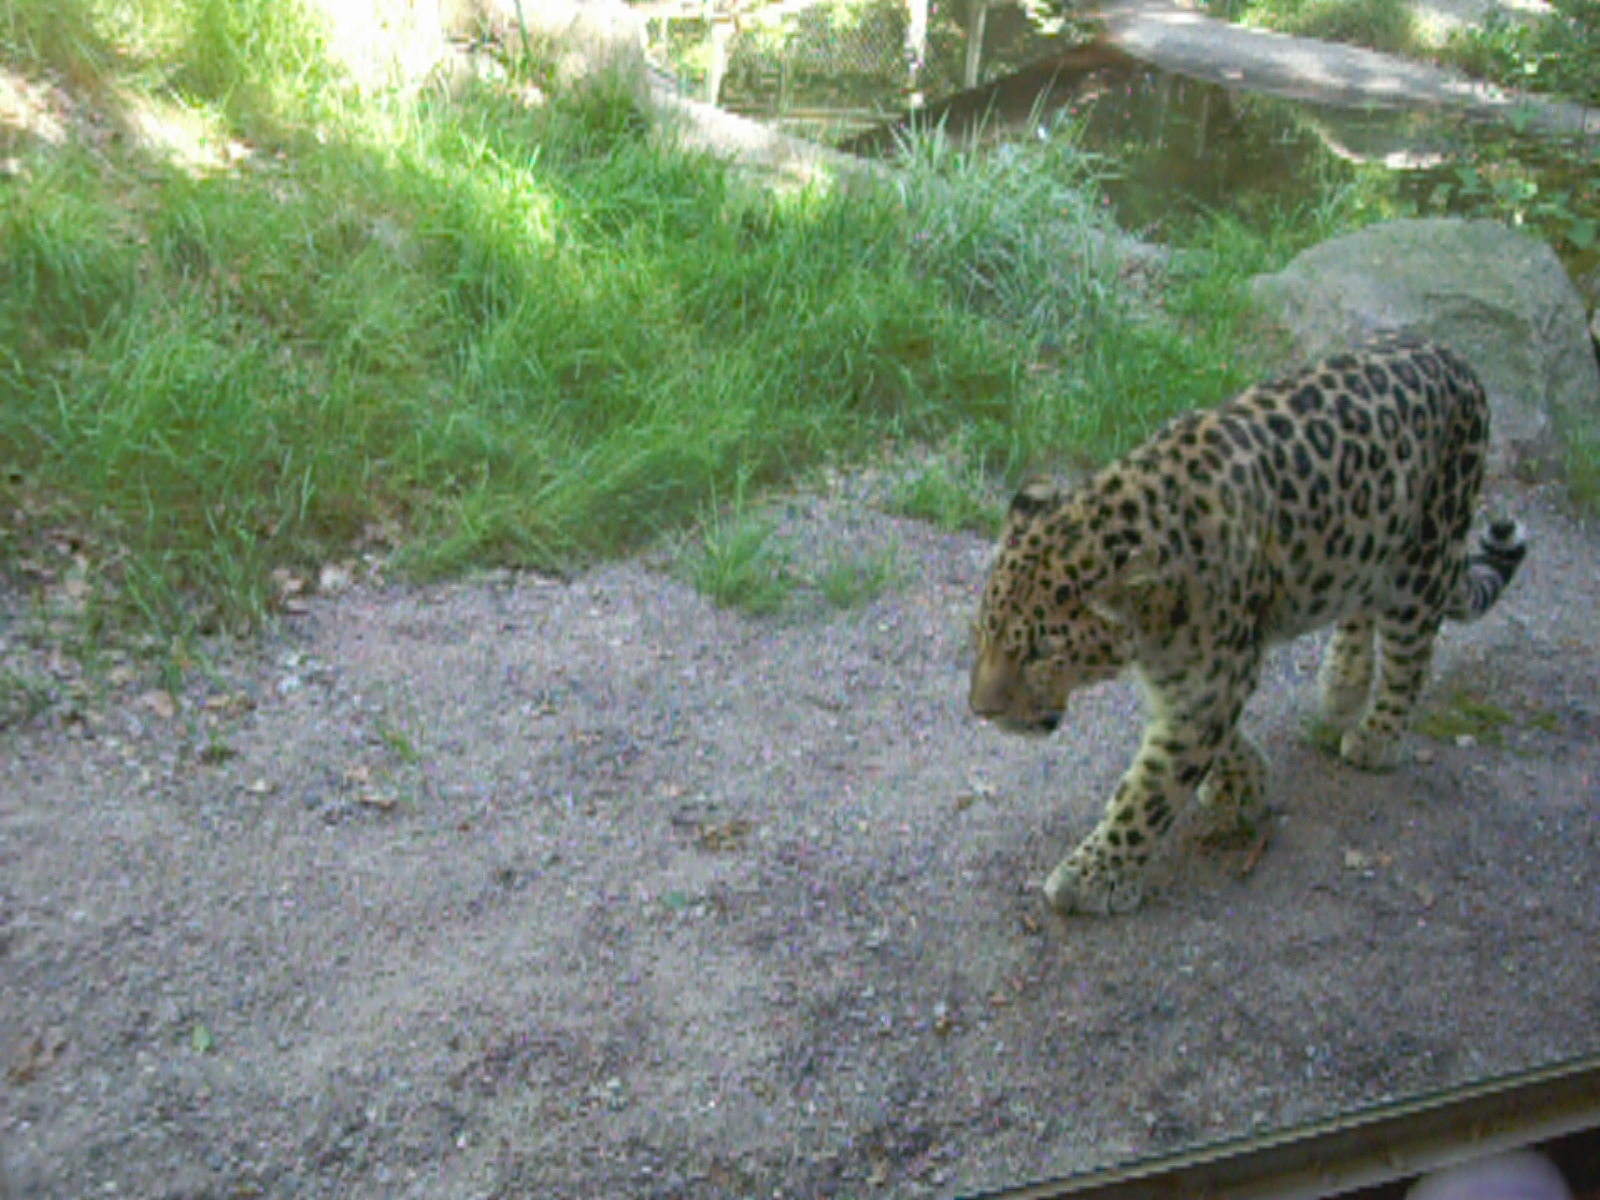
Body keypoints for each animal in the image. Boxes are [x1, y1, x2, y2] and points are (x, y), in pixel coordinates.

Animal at [969, 333, 1528, 916]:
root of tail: (1457, 358)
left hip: (1424, 557)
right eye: (981, 634)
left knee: (1411, 655)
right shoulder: (1188, 674)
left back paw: (1378, 735)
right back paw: (1342, 684)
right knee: (1360, 603)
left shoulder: (1210, 681)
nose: (980, 710)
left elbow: (1151, 788)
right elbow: (1201, 741)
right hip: (1369, 540)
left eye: (1040, 654)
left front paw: (1094, 875)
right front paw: (1245, 781)